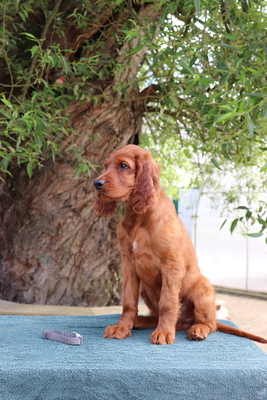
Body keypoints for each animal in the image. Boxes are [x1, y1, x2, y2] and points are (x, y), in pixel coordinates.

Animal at [94, 145, 267, 346]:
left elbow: (167, 303)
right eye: (106, 165)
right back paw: (141, 321)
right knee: (163, 317)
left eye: (123, 166)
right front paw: (122, 327)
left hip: (203, 289)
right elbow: (129, 301)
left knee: (210, 323)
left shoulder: (171, 264)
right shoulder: (128, 262)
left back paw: (197, 329)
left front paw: (163, 332)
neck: (140, 217)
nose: (96, 183)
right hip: (145, 290)